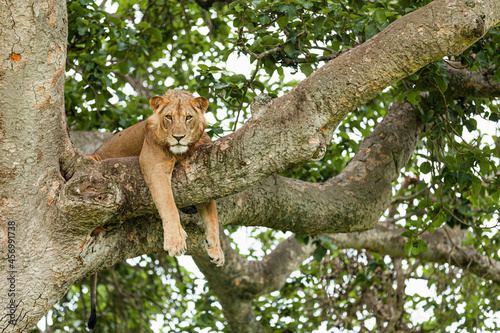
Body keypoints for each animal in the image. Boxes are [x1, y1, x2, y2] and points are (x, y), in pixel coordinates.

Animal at [85, 88, 223, 326]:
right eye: (168, 117)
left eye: (189, 117)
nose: (178, 137)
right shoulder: (154, 164)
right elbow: (167, 203)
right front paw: (175, 241)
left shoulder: (203, 175)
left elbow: (212, 217)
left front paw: (216, 250)